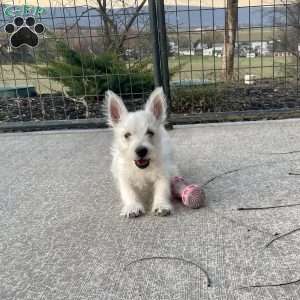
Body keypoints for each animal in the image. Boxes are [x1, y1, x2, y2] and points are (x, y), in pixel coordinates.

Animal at [105, 87, 178, 218]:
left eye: (150, 132)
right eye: (127, 135)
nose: (141, 151)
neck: (142, 169)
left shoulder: (162, 174)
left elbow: (162, 189)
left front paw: (161, 205)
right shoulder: (124, 176)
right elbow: (128, 192)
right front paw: (132, 207)